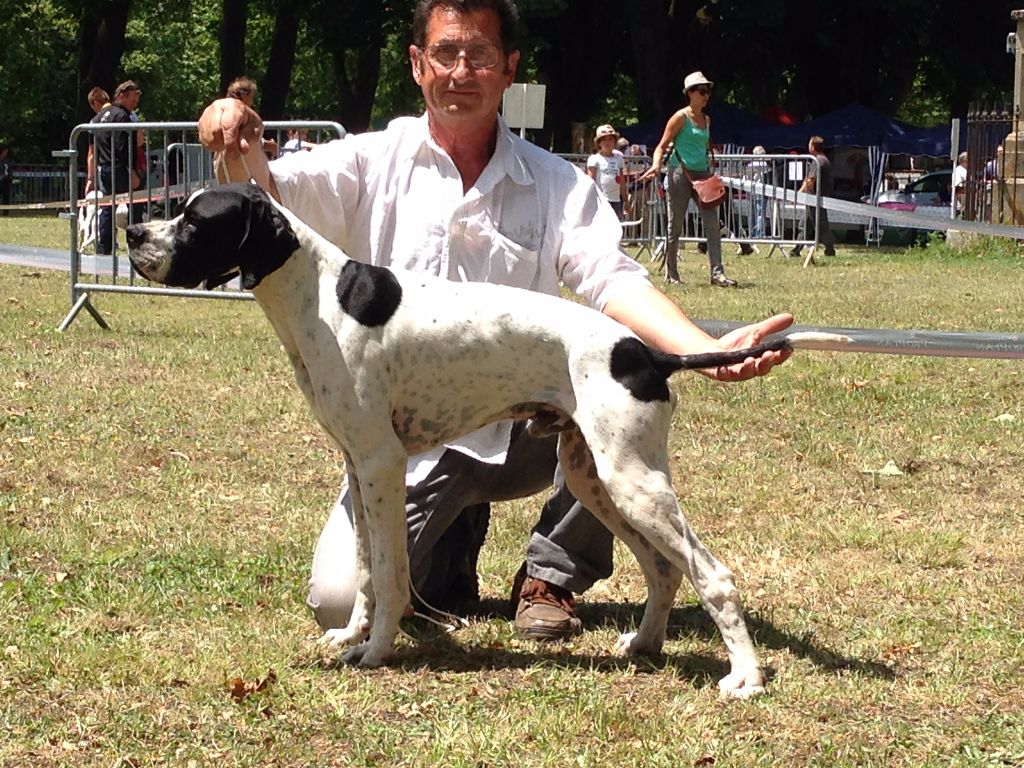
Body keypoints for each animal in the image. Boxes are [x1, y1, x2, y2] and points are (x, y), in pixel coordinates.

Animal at [125, 183, 831, 700]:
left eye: (195, 221)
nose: (132, 233)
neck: (322, 297)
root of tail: (645, 352)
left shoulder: (382, 464)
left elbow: (391, 573)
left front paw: (376, 651)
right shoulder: (358, 466)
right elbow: (366, 572)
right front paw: (352, 635)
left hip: (632, 480)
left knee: (713, 574)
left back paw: (746, 678)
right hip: (596, 478)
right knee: (663, 568)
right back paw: (644, 645)